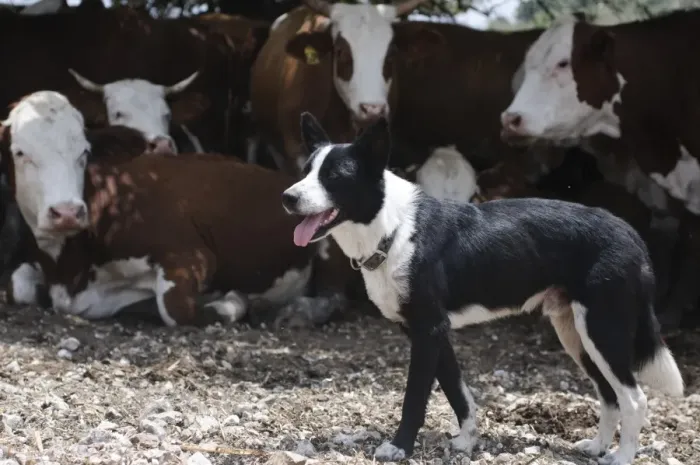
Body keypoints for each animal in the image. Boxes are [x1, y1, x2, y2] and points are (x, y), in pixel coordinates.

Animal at [2, 90, 322, 327]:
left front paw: (233, 302)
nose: (67, 212)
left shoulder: (189, 253)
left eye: (84, 152)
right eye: (19, 153)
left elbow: (176, 308)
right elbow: (17, 286)